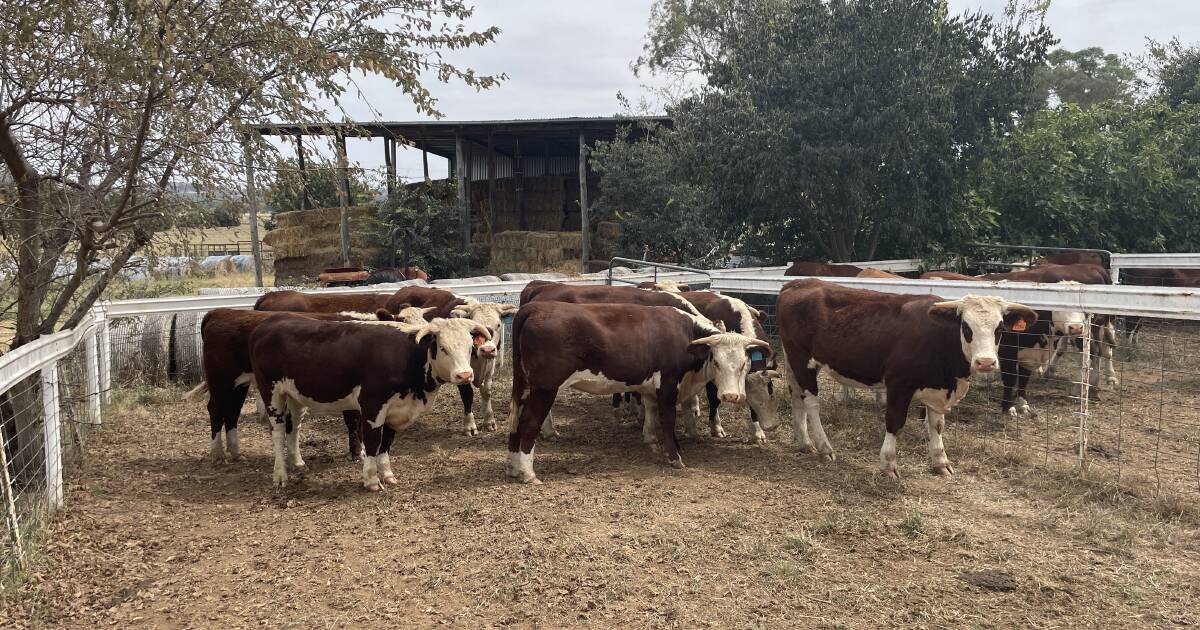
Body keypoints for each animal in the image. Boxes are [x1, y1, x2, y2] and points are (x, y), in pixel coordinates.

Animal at [182, 307, 396, 460]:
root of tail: (219, 312)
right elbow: (353, 421)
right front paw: (357, 453)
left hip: (239, 384)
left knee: (232, 411)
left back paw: (235, 452)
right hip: (221, 380)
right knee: (216, 409)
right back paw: (218, 453)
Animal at [250, 316, 489, 489]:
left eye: (469, 347)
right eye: (443, 348)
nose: (464, 375)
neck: (407, 357)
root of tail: (269, 324)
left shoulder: (395, 411)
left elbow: (386, 443)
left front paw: (388, 474)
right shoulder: (373, 407)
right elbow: (373, 442)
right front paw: (372, 480)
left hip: (296, 397)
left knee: (294, 428)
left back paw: (298, 463)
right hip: (271, 394)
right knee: (278, 432)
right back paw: (280, 475)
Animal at [504, 300, 768, 482]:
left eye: (744, 364)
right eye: (716, 361)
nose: (731, 396)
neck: (685, 334)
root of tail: (534, 308)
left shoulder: (650, 387)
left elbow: (650, 412)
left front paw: (652, 441)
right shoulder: (668, 383)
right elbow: (667, 419)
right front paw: (675, 457)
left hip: (525, 386)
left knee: (516, 423)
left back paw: (514, 466)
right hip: (544, 388)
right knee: (529, 423)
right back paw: (528, 473)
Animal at [768, 278, 1041, 477]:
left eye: (999, 328)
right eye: (966, 327)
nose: (985, 362)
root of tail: (798, 282)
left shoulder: (937, 390)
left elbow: (936, 425)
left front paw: (940, 461)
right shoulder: (899, 384)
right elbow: (895, 422)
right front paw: (888, 464)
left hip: (797, 360)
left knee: (796, 394)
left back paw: (804, 441)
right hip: (802, 359)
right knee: (812, 403)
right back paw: (824, 447)